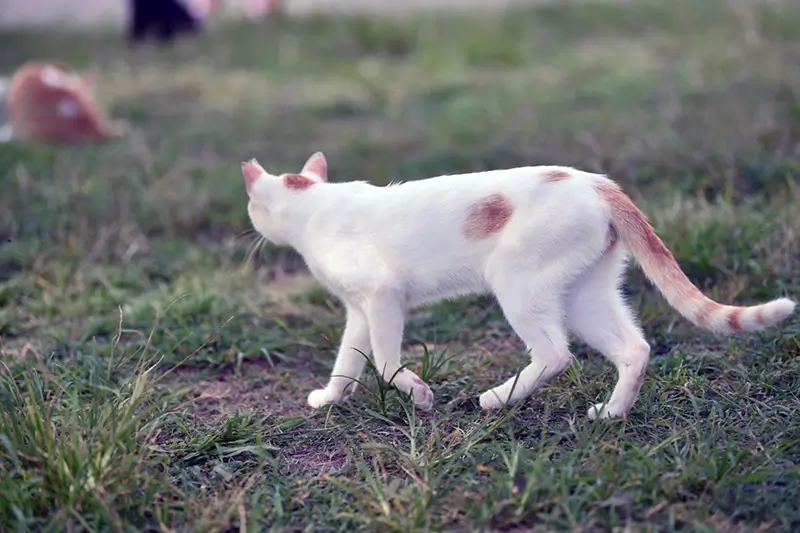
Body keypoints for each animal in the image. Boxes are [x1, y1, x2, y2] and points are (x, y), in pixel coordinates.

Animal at [241, 152, 796, 418]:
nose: (253, 230)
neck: (314, 207)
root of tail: (597, 182)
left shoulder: (382, 298)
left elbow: (385, 362)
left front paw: (418, 394)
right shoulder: (360, 312)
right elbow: (348, 362)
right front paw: (331, 398)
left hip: (516, 285)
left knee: (555, 354)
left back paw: (497, 399)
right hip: (585, 297)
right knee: (635, 349)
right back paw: (612, 413)